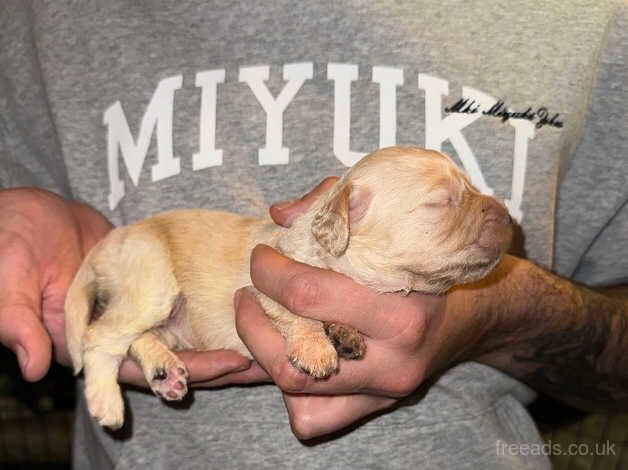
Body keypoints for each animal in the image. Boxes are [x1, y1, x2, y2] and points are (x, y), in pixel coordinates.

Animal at [65, 148, 516, 430]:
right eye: (441, 203)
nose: (509, 217)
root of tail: (107, 243)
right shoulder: (264, 284)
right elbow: (295, 314)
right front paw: (316, 349)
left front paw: (344, 333)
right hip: (150, 283)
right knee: (100, 337)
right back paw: (107, 401)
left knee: (134, 337)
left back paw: (165, 370)